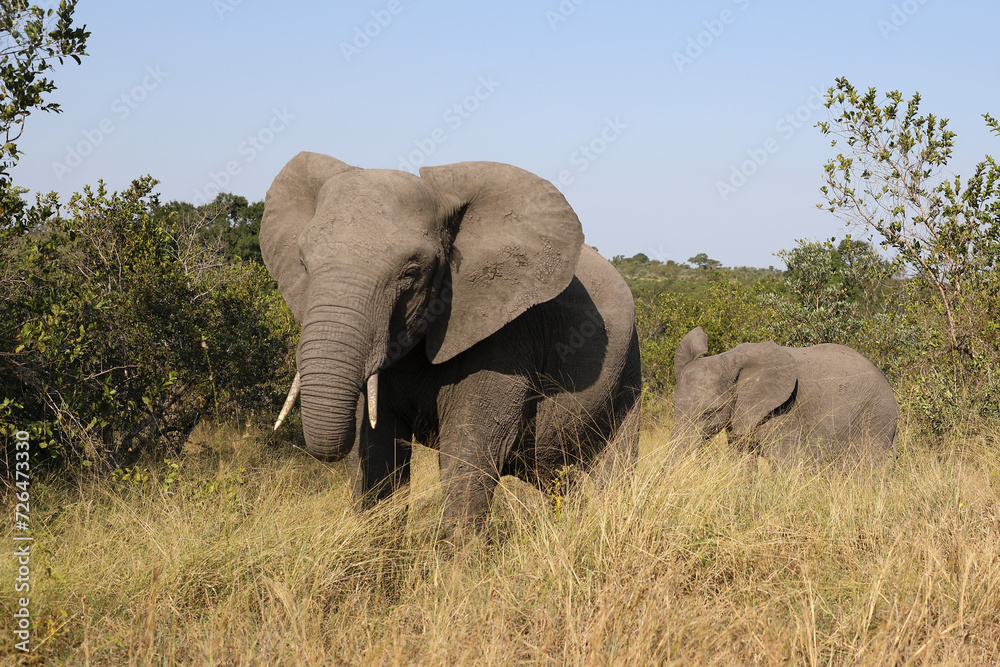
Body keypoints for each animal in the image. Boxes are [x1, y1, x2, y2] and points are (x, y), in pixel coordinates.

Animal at [262, 151, 640, 528]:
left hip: (628, 371)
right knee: (560, 479)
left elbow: (471, 447)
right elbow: (378, 453)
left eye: (411, 273)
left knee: (613, 470)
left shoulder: (505, 333)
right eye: (303, 263)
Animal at [672, 326, 900, 468]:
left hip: (876, 417)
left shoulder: (784, 410)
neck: (729, 359)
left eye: (710, 412)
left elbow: (784, 462)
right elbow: (742, 459)